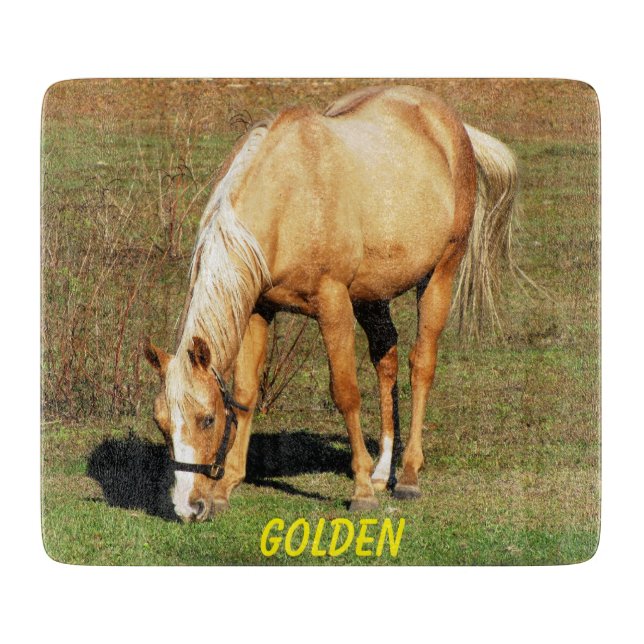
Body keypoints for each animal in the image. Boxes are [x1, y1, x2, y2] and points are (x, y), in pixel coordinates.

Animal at [144, 85, 518, 522]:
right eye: (162, 423)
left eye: (206, 420)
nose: (187, 507)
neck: (290, 199)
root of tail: (450, 125)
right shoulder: (258, 308)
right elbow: (246, 393)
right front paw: (226, 489)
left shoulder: (333, 304)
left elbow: (346, 393)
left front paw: (361, 492)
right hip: (372, 297)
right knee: (387, 362)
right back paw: (382, 471)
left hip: (439, 275)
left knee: (421, 366)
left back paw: (407, 475)